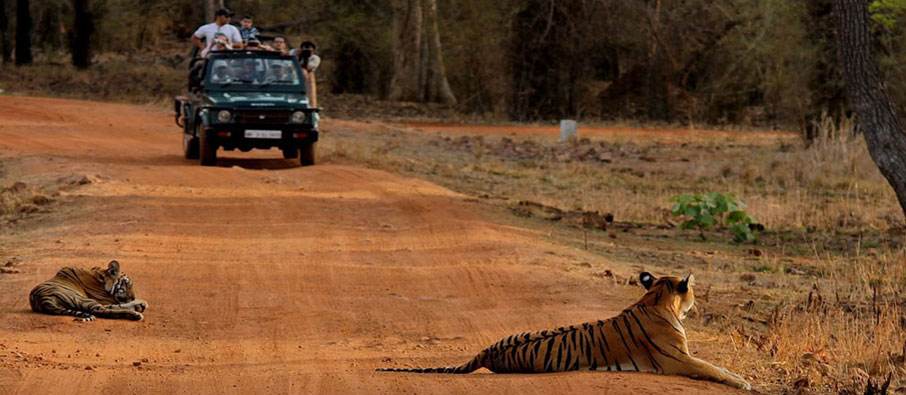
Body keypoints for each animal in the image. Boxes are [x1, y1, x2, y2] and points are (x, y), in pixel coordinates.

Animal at [374, 270, 748, 392]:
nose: (695, 304)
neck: (654, 297)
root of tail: (486, 351)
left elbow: (718, 366)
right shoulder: (679, 360)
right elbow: (714, 369)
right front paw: (744, 382)